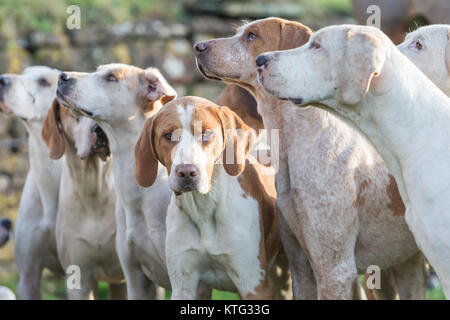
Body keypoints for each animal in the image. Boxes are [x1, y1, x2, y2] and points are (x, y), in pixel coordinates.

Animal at [134, 95, 282, 300]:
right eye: (168, 135)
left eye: (206, 134)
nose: (187, 172)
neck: (204, 209)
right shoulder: (183, 286)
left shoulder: (255, 285)